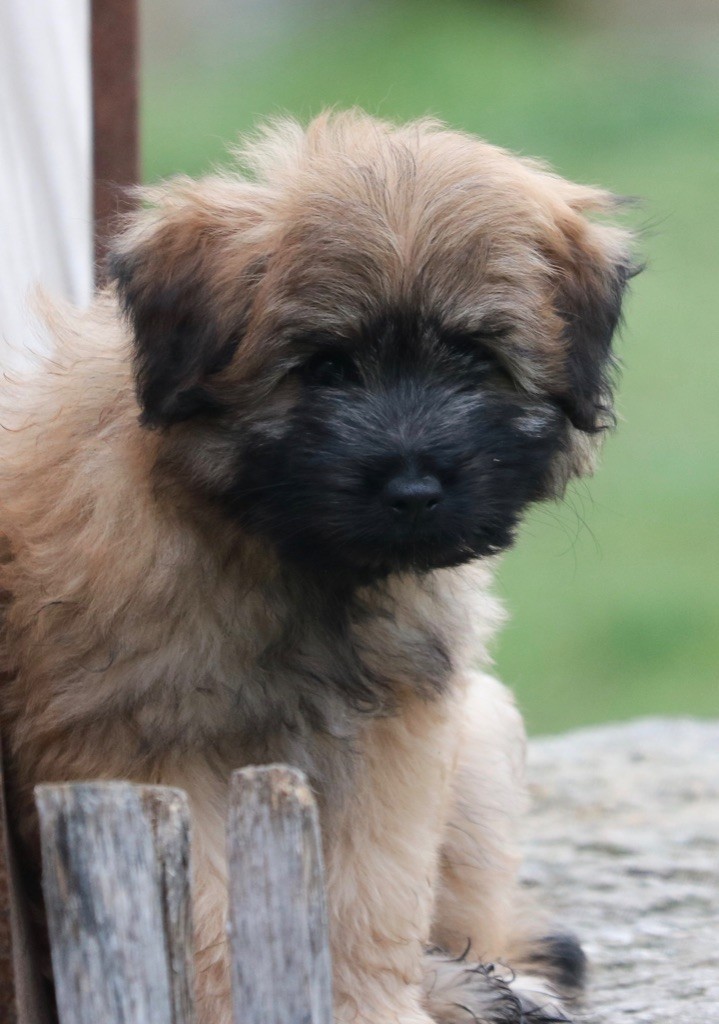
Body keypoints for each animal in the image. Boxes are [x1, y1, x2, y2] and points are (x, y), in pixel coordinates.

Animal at [2, 112, 639, 1024]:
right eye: (326, 366)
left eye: (474, 358)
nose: (414, 490)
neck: (276, 551)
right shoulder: (144, 749)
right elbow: (212, 921)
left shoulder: (394, 742)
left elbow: (372, 896)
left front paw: (373, 1005)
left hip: (478, 749)